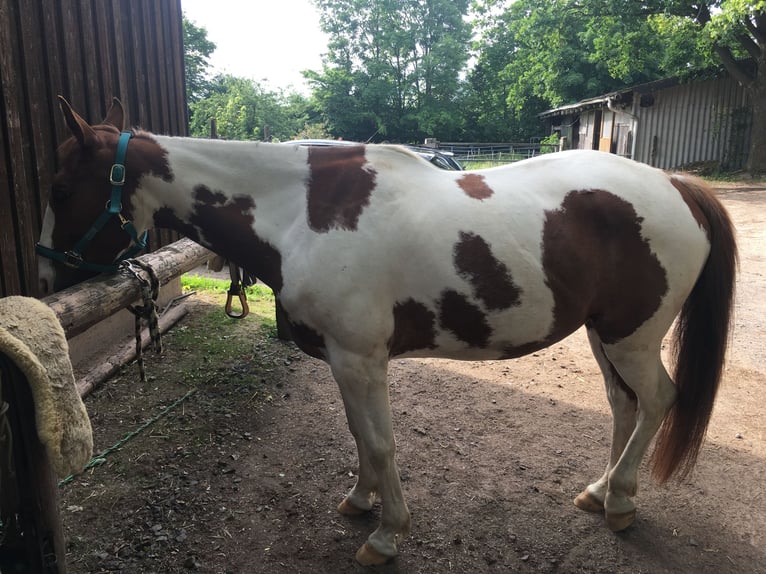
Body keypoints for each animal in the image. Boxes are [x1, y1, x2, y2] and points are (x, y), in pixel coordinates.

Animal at [40, 98, 736, 568]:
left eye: (63, 186)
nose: (48, 272)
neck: (301, 215)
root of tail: (678, 186)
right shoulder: (343, 361)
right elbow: (360, 437)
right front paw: (360, 501)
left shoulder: (358, 359)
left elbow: (380, 442)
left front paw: (386, 534)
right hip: (605, 335)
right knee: (625, 405)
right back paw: (599, 491)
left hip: (632, 338)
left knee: (657, 401)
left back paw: (620, 502)